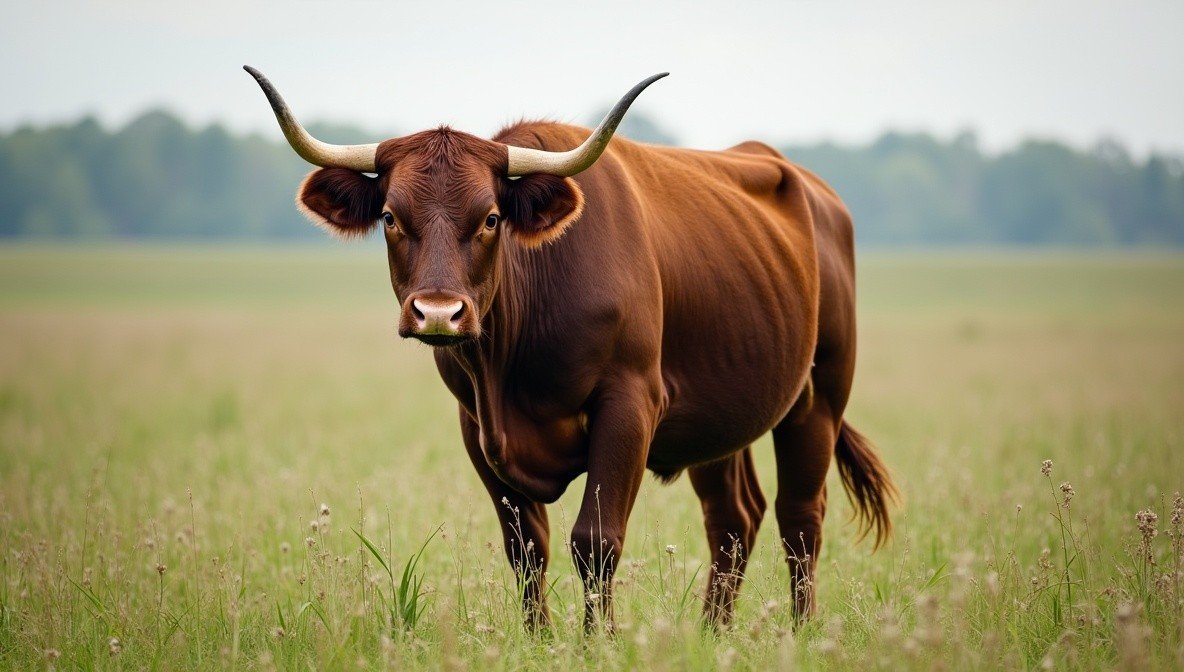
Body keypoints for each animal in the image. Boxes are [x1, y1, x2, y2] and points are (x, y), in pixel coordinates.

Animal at [245, 66, 897, 630]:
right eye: (389, 217)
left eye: (490, 218)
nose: (438, 312)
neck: (508, 370)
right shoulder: (474, 424)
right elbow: (526, 547)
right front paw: (539, 639)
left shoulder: (630, 404)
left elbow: (596, 540)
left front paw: (596, 641)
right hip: (720, 414)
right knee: (735, 519)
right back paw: (713, 633)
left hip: (819, 397)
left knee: (800, 518)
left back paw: (801, 632)